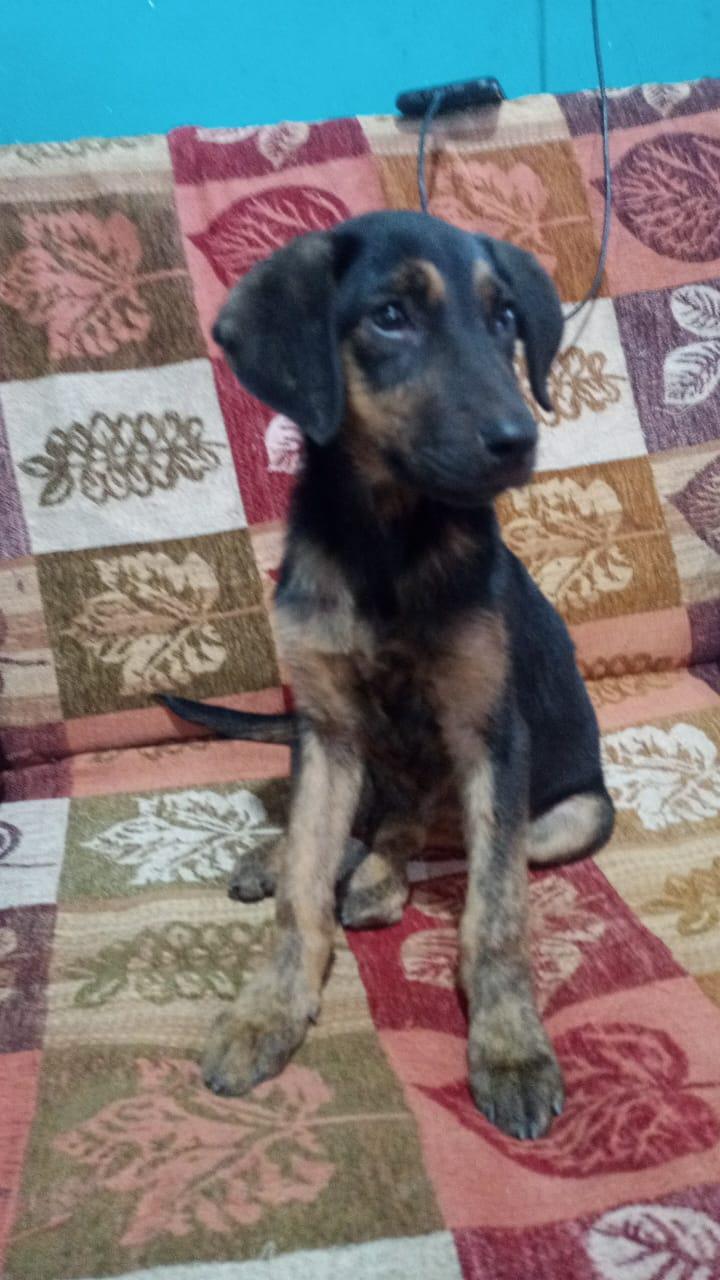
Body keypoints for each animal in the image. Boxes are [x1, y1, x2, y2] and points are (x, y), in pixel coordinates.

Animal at [162, 211, 615, 1140]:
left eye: (505, 318)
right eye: (390, 318)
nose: (520, 440)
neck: (388, 539)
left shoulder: (490, 734)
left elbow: (494, 914)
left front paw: (509, 1046)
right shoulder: (328, 728)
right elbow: (304, 890)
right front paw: (269, 1010)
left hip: (573, 816)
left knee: (431, 829)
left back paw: (375, 878)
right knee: (369, 816)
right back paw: (295, 855)